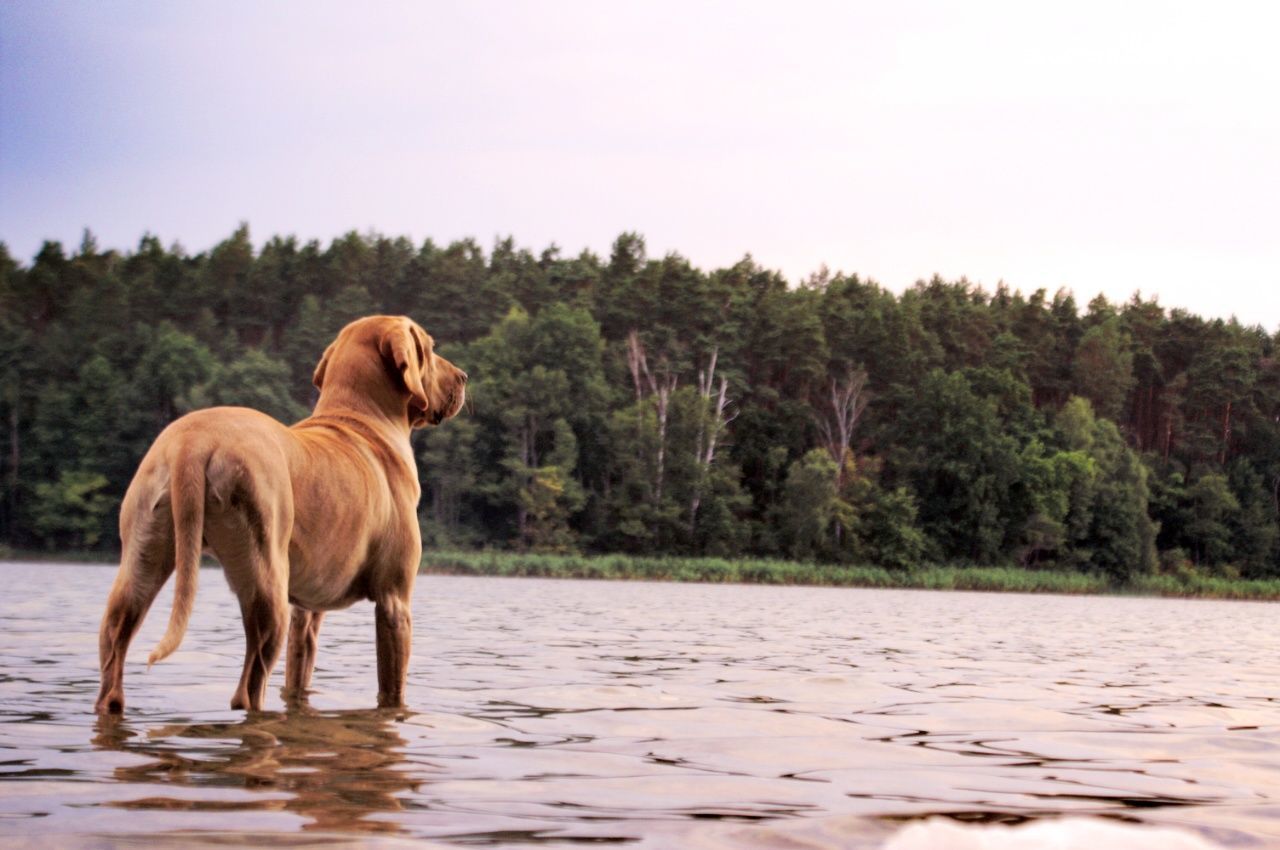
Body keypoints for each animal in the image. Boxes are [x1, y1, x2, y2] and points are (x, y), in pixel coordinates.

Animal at [94, 314, 468, 711]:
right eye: (429, 347)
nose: (463, 377)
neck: (360, 418)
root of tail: (193, 442)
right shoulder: (394, 602)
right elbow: (392, 689)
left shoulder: (307, 609)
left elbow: (298, 672)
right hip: (267, 581)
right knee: (247, 690)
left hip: (141, 562)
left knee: (113, 648)